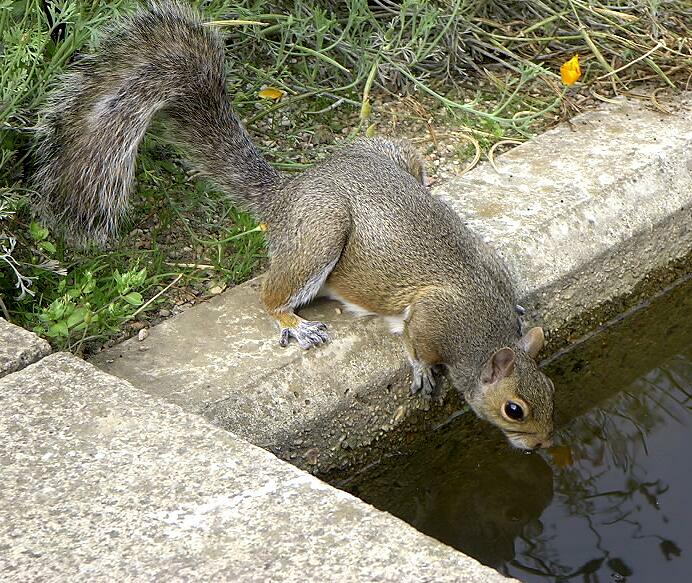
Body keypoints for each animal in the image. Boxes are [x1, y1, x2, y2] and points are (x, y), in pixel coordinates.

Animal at [32, 0, 556, 452]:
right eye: (514, 409)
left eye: (551, 389)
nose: (542, 445)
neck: (482, 326)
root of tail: (286, 194)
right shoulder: (431, 319)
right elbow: (414, 345)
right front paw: (421, 372)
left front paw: (523, 312)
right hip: (319, 234)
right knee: (269, 293)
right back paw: (295, 323)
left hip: (399, 157)